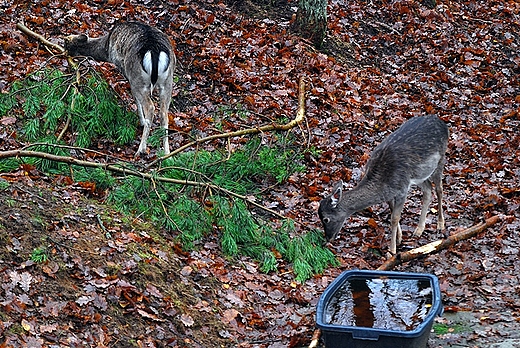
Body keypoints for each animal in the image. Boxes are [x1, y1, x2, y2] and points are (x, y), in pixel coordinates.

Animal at [63, 21, 176, 156]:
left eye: (66, 44)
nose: (64, 55)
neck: (106, 48)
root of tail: (155, 51)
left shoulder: (125, 71)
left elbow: (135, 99)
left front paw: (142, 121)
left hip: (138, 78)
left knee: (150, 107)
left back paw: (141, 150)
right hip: (168, 81)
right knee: (164, 113)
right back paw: (167, 153)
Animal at [318, 115, 448, 254]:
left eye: (326, 219)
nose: (328, 238)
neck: (383, 183)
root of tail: (442, 123)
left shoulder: (402, 188)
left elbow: (394, 218)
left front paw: (392, 250)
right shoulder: (391, 193)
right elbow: (392, 212)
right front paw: (399, 238)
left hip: (440, 160)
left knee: (439, 189)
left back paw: (440, 224)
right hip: (420, 174)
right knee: (428, 189)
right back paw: (419, 230)